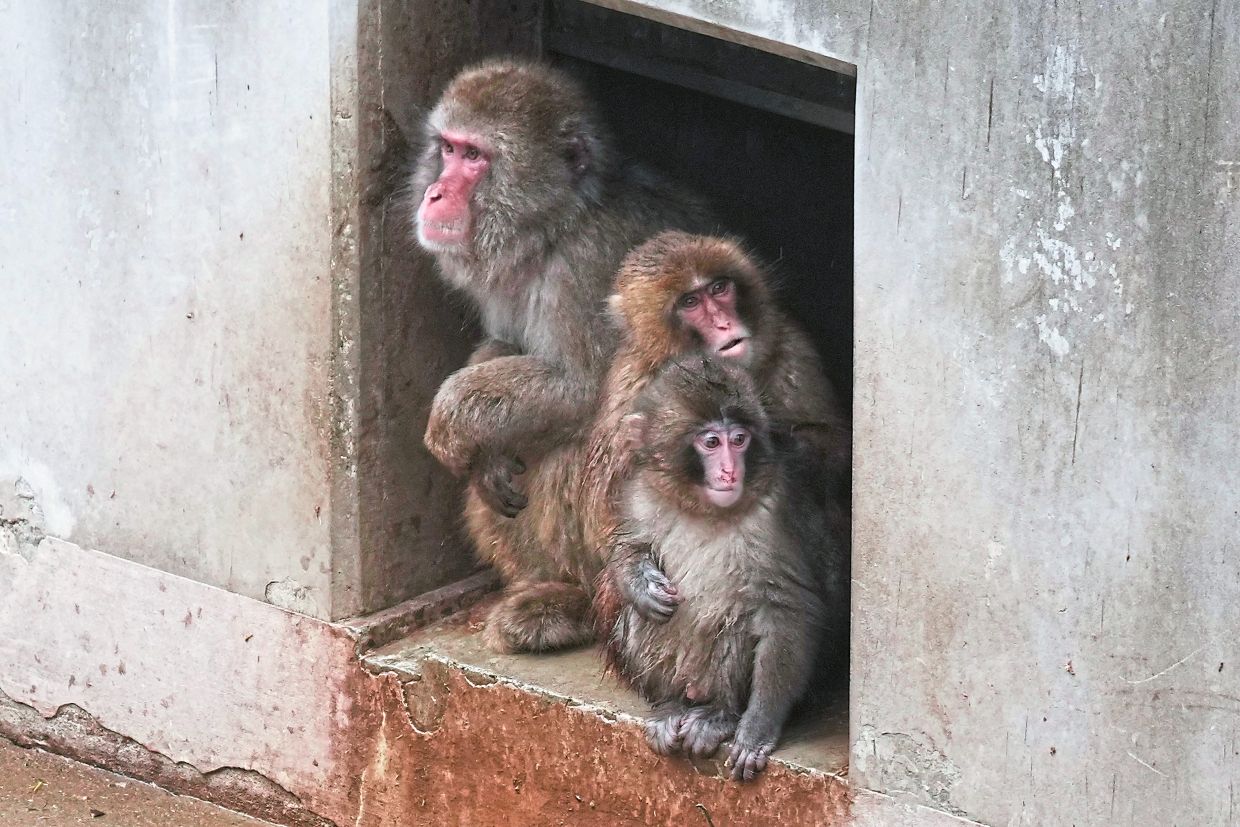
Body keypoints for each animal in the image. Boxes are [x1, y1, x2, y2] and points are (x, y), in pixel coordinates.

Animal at [411, 59, 714, 653]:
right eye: (449, 148)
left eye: (475, 157)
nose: (434, 192)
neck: (556, 227)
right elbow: (504, 346)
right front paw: (486, 454)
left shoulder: (592, 266)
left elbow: (585, 389)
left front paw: (451, 420)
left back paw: (575, 605)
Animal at [578, 230, 851, 566]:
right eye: (690, 302)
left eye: (719, 288)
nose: (724, 323)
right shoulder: (629, 392)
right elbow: (604, 524)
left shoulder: (790, 348)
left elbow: (836, 445)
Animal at [594, 355, 847, 781]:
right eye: (711, 442)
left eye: (739, 439)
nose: (730, 471)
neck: (703, 508)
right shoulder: (641, 492)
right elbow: (626, 546)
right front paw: (641, 585)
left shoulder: (774, 514)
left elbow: (788, 607)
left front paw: (758, 727)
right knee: (642, 619)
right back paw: (672, 705)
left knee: (738, 623)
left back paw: (719, 715)